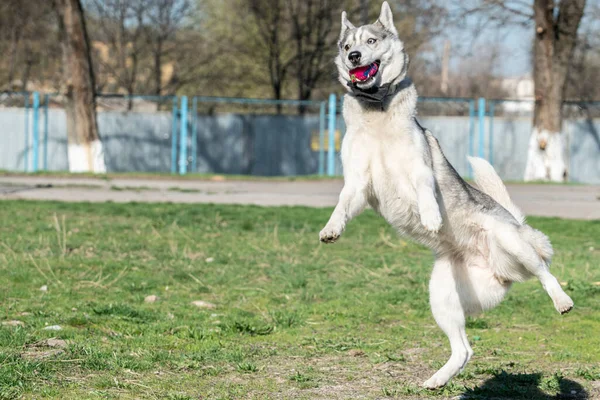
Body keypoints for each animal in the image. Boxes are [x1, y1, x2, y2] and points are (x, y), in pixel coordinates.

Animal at [322, 0, 576, 388]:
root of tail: (499, 267)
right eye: (346, 44)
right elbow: (341, 204)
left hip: (511, 241)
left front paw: (430, 217)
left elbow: (425, 190)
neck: (378, 111)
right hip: (443, 295)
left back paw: (561, 300)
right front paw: (331, 229)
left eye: (370, 41)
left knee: (545, 271)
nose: (353, 57)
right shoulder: (357, 183)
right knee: (464, 349)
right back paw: (437, 380)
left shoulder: (419, 168)